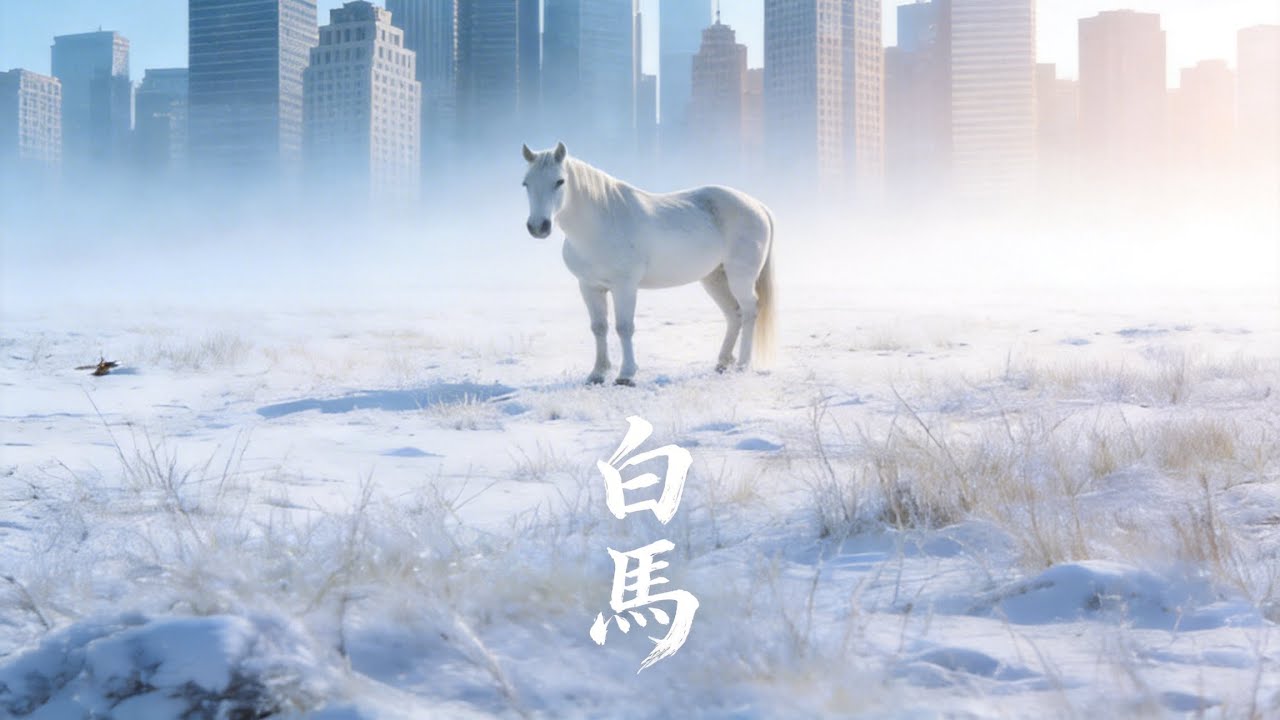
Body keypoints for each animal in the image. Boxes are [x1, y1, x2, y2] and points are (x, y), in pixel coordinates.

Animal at [521, 142, 775, 386]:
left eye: (559, 181)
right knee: (734, 314)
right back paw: (722, 363)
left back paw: (742, 365)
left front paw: (626, 375)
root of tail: (758, 206)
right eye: (526, 183)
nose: (538, 226)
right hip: (714, 278)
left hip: (740, 277)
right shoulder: (589, 286)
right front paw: (597, 374)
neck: (601, 224)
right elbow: (599, 327)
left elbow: (624, 327)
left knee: (749, 310)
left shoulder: (624, 286)